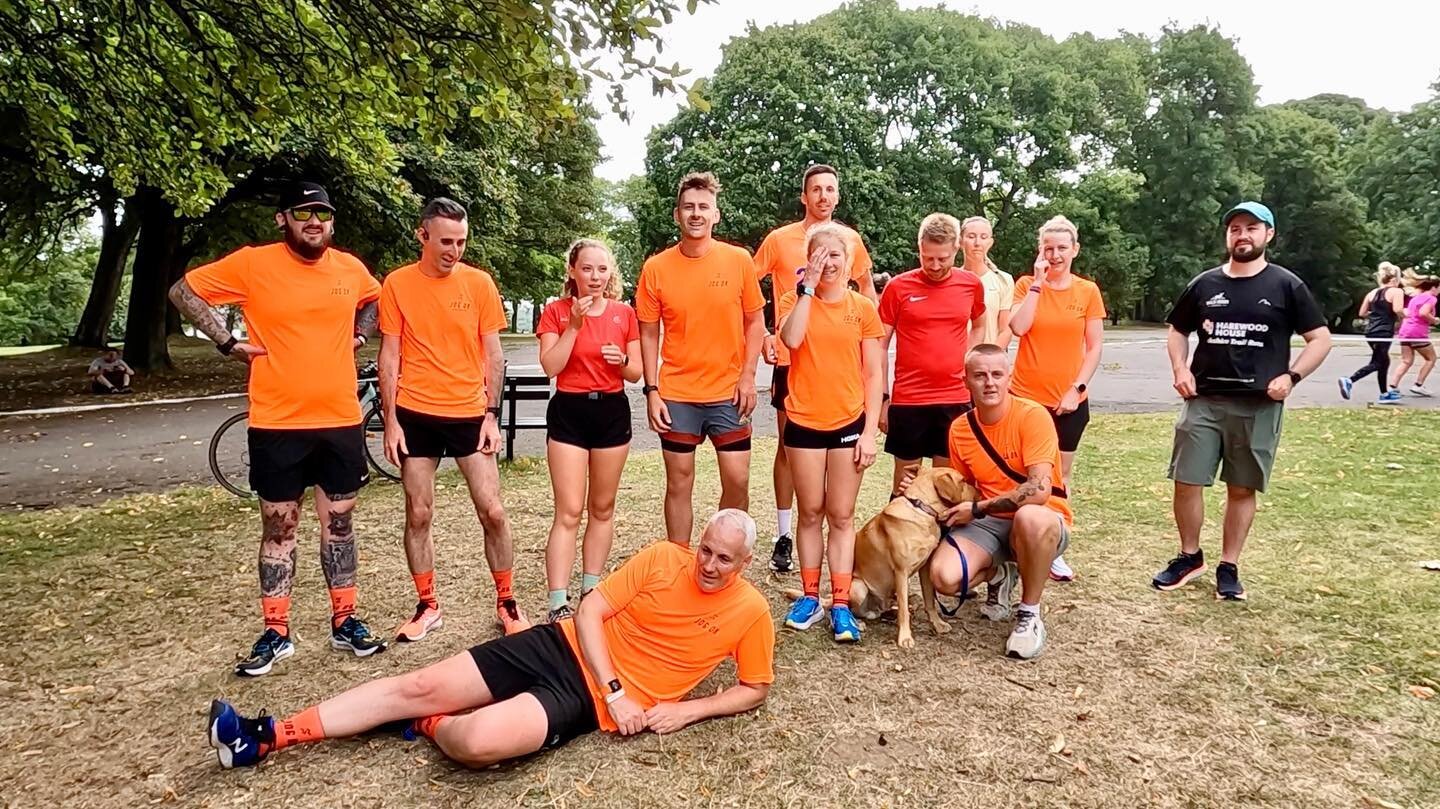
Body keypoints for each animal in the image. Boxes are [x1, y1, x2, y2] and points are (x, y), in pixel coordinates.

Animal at [789, 466, 979, 642]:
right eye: (964, 480)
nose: (979, 492)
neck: (921, 510)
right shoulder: (901, 572)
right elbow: (904, 610)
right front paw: (905, 637)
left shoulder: (925, 569)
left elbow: (929, 601)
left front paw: (937, 624)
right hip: (859, 587)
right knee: (843, 610)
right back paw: (855, 624)